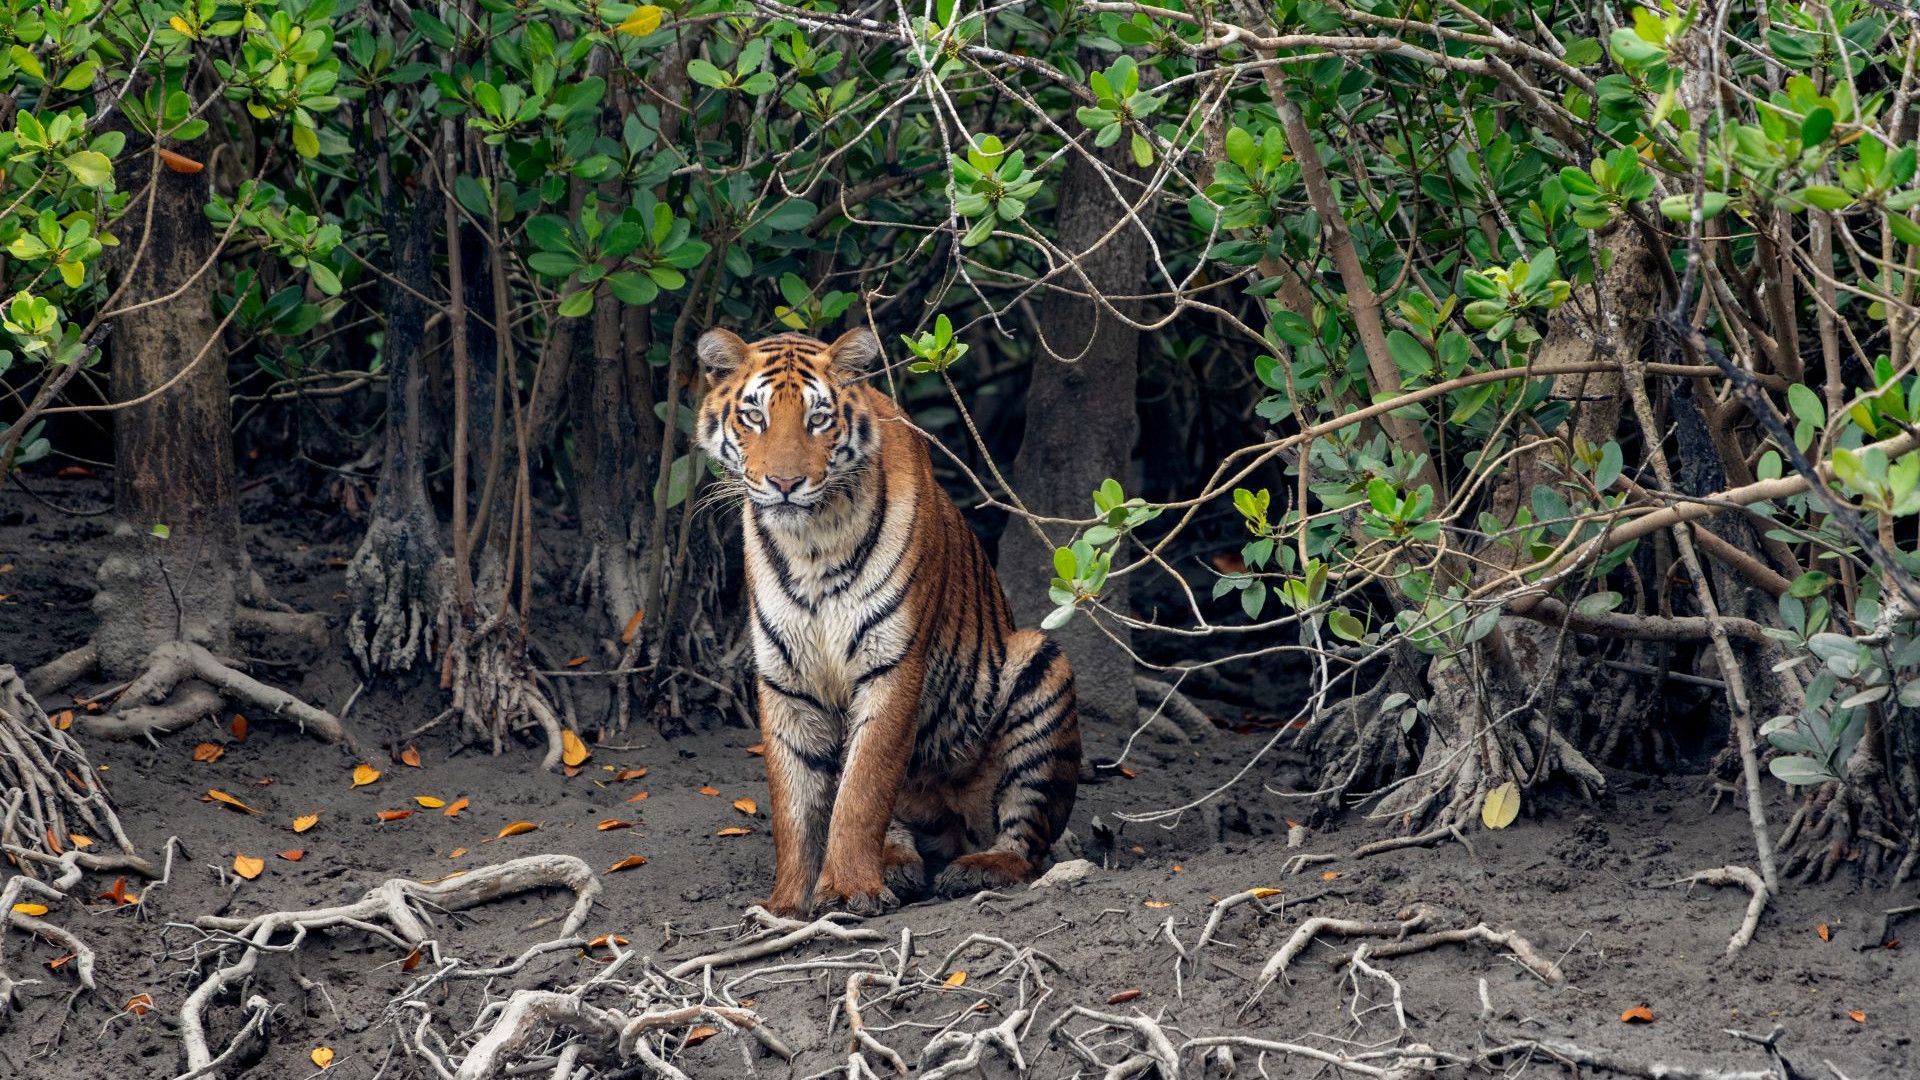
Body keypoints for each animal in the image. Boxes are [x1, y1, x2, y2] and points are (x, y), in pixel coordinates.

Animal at [695, 326, 1081, 915]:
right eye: (755, 416)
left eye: (818, 419)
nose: (784, 482)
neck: (810, 544)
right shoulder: (787, 679)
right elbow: (795, 806)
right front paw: (785, 904)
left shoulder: (892, 665)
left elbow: (863, 789)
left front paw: (847, 889)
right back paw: (897, 864)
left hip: (1040, 664)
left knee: (1024, 839)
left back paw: (977, 868)